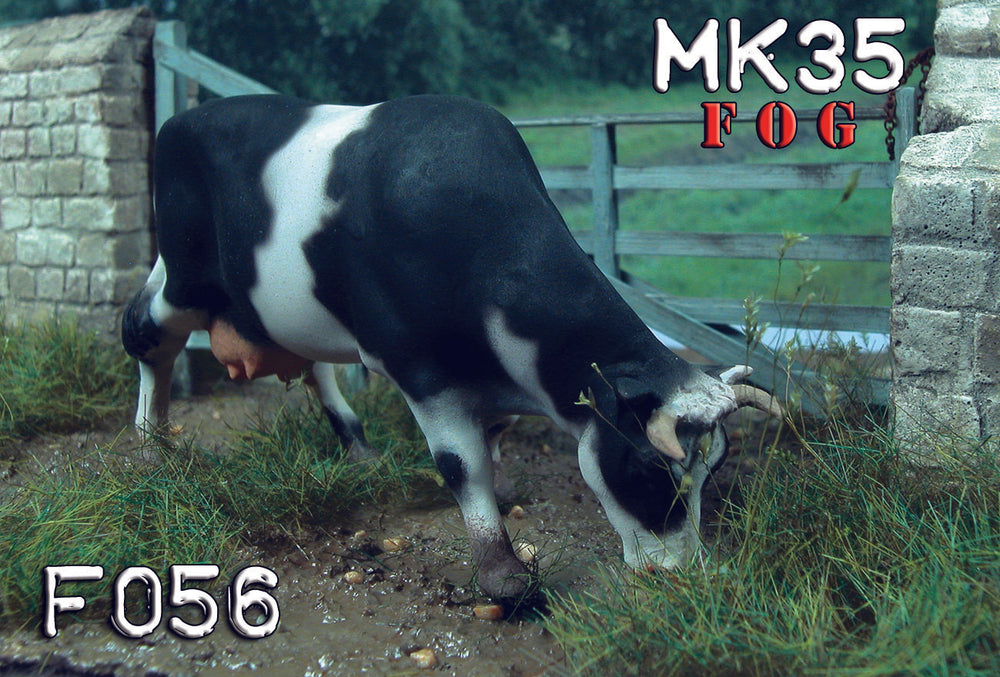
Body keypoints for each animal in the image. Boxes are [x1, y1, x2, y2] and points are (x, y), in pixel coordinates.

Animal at [122, 94, 781, 603]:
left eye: (712, 471)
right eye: (648, 470)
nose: (683, 576)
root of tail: (182, 119)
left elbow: (492, 438)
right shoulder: (421, 369)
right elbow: (461, 464)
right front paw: (504, 577)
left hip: (282, 311)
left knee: (310, 366)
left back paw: (359, 450)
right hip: (186, 280)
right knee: (144, 331)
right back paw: (151, 445)